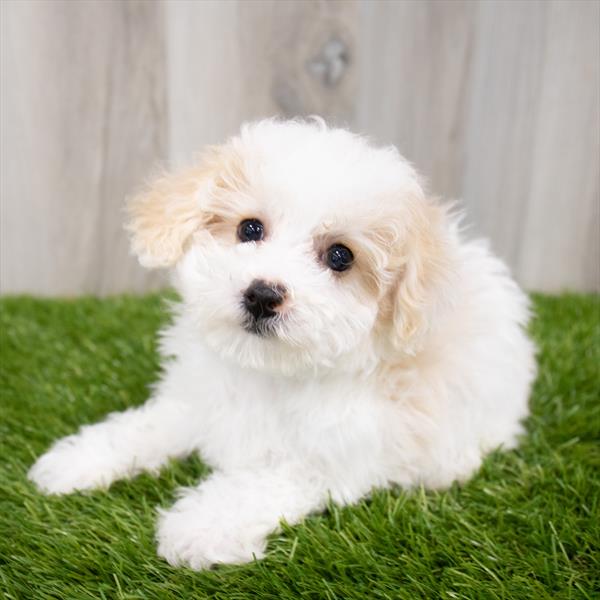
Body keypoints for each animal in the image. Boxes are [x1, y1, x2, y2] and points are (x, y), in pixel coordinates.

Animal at [28, 118, 536, 572]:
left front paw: (201, 527)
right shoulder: (197, 401)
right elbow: (146, 427)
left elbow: (257, 484)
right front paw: (79, 459)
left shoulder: (330, 457)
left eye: (340, 256)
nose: (262, 294)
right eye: (250, 229)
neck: (266, 369)